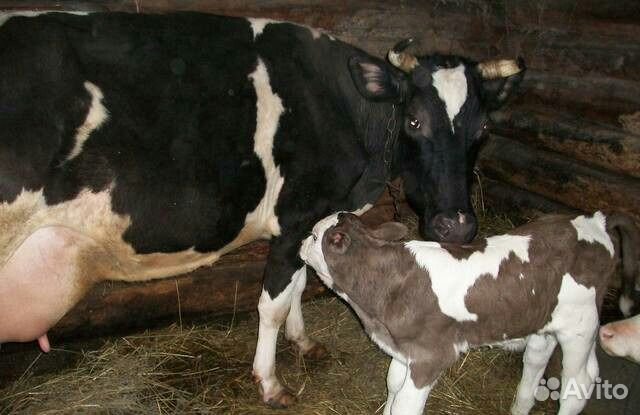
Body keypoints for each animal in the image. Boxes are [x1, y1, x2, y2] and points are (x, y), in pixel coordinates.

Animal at [0, 11, 524, 408]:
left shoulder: (311, 220)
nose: (456, 225)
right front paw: (270, 383)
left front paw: (304, 341)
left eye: (484, 129)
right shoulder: (296, 215)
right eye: (414, 120)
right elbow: (271, 303)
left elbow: (299, 285)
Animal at [302, 213, 640, 414]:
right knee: (536, 359)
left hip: (579, 325)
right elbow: (393, 386)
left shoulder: (430, 356)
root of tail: (595, 223)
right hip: (545, 319)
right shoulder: (403, 349)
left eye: (316, 236)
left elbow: (405, 406)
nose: (302, 241)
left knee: (579, 382)